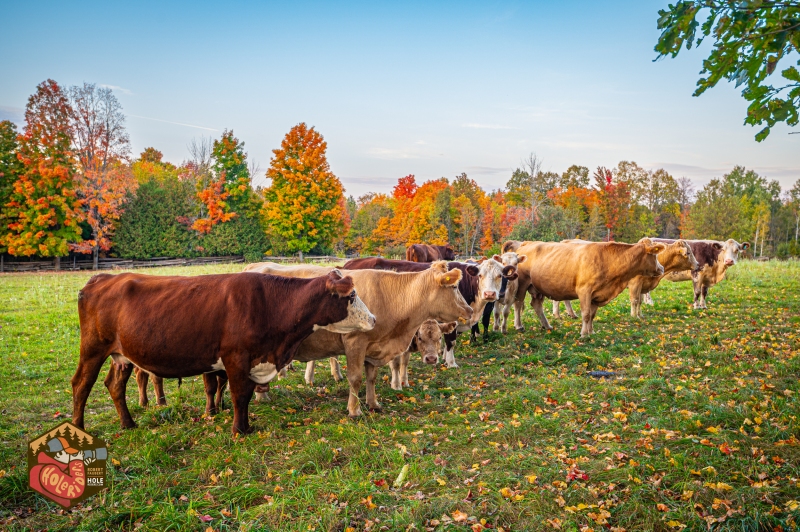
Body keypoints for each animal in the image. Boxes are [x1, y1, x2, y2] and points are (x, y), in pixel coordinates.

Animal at [72, 268, 376, 434]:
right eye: (351, 295)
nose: (374, 319)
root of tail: (103, 278)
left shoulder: (253, 361)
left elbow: (246, 395)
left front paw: (245, 425)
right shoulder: (236, 358)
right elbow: (239, 395)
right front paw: (239, 430)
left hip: (121, 355)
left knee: (114, 385)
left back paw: (128, 423)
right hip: (93, 348)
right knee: (81, 384)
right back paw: (78, 427)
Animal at [256, 262, 472, 416]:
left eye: (439, 338)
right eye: (454, 287)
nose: (469, 310)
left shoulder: (372, 347)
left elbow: (371, 377)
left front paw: (373, 403)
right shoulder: (355, 342)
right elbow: (355, 378)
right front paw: (354, 410)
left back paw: (262, 395)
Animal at [512, 241, 668, 336]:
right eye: (655, 255)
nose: (661, 268)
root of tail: (527, 243)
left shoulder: (597, 294)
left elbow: (592, 315)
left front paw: (591, 332)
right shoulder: (584, 290)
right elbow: (586, 314)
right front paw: (583, 333)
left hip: (537, 287)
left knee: (536, 304)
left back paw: (547, 325)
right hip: (522, 283)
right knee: (518, 303)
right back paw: (519, 326)